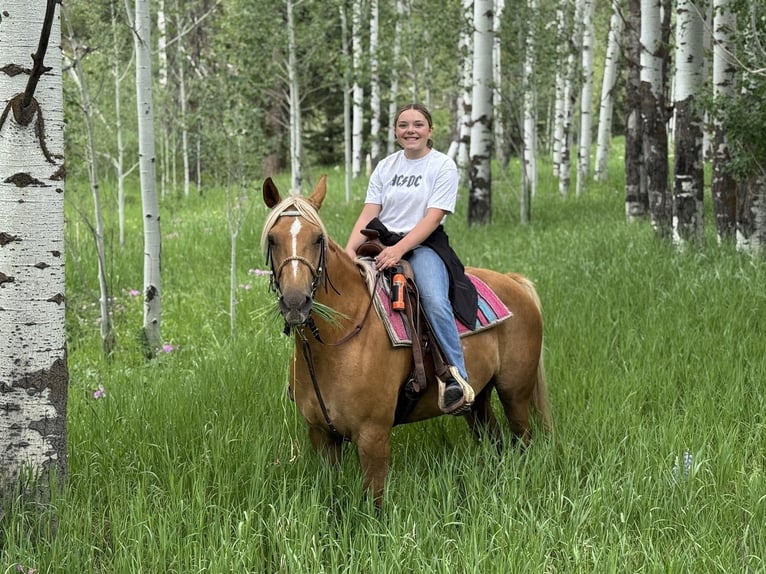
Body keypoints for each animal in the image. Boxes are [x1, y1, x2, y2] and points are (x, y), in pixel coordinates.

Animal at [261, 175, 551, 504]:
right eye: (273, 239)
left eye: (318, 239)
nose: (295, 303)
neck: (340, 341)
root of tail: (514, 281)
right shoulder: (321, 436)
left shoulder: (373, 436)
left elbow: (373, 502)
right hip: (478, 401)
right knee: (496, 441)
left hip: (515, 393)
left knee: (522, 440)